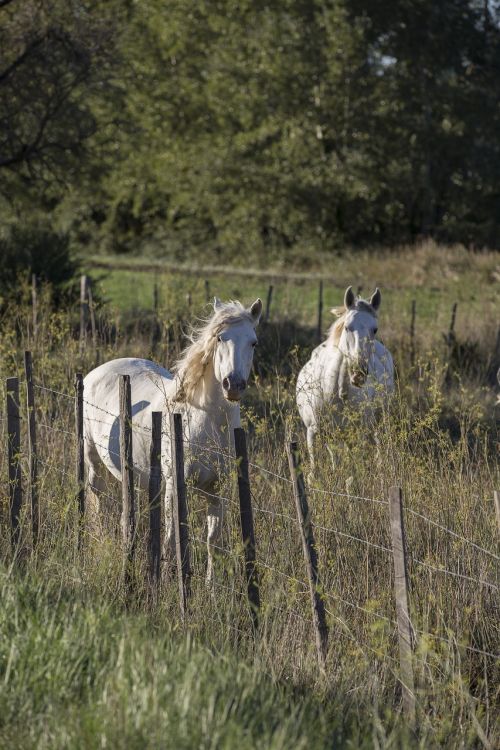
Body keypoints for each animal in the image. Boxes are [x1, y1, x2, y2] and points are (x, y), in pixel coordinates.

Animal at [82, 296, 262, 584]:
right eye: (220, 338)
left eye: (253, 342)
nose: (233, 385)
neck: (204, 421)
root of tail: (96, 372)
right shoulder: (176, 486)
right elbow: (172, 536)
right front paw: (167, 581)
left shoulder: (216, 489)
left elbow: (213, 540)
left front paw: (211, 586)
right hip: (93, 459)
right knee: (97, 498)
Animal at [296, 286, 394, 468]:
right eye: (347, 327)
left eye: (375, 329)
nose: (358, 373)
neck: (336, 392)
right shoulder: (314, 432)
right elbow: (316, 467)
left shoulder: (358, 433)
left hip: (378, 421)